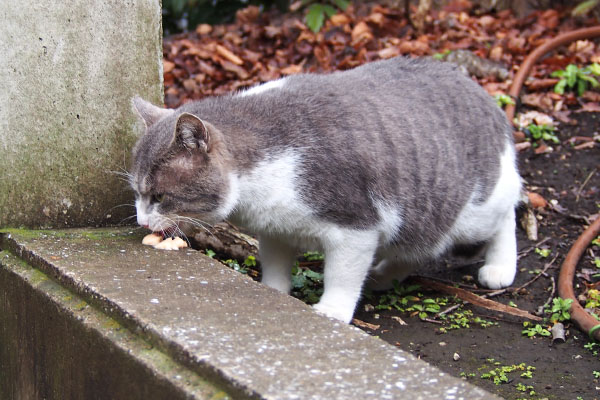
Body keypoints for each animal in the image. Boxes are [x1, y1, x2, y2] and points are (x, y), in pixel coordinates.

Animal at [130, 56, 520, 324]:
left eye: (159, 197)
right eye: (137, 193)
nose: (141, 222)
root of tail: (482, 93)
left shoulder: (355, 226)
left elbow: (342, 275)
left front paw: (332, 310)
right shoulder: (275, 229)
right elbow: (275, 266)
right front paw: (274, 293)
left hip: (474, 210)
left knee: (507, 214)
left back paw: (499, 267)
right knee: (417, 248)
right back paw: (383, 275)